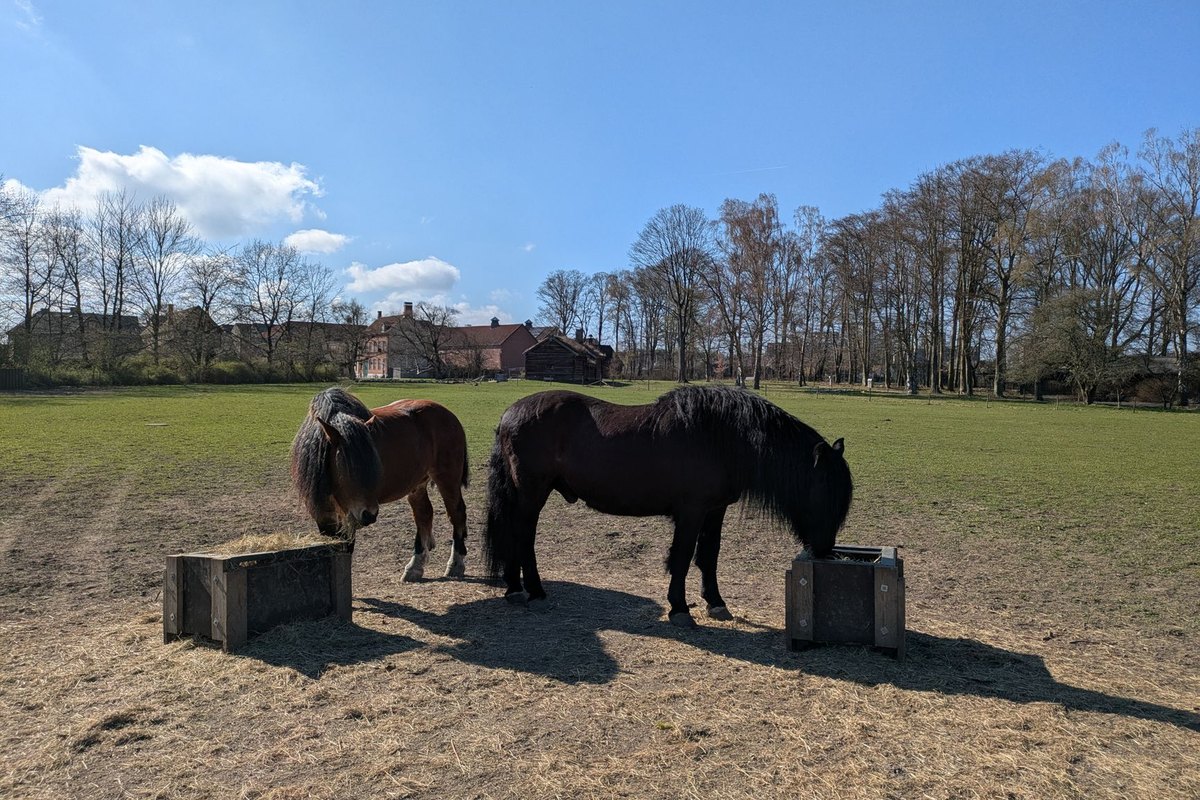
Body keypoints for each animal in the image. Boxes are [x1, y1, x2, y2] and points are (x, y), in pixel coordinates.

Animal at [290, 387, 471, 581]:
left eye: (373, 462)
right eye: (347, 467)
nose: (369, 515)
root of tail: (448, 414)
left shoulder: (349, 517)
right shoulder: (324, 516)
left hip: (447, 479)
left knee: (456, 514)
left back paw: (456, 564)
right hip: (417, 485)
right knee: (424, 515)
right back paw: (415, 566)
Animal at [482, 385, 853, 627]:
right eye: (825, 492)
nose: (824, 550)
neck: (720, 438)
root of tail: (509, 414)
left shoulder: (715, 510)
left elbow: (709, 556)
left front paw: (715, 603)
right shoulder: (691, 512)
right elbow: (683, 557)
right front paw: (680, 609)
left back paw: (515, 588)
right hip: (532, 493)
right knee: (522, 537)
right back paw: (534, 591)